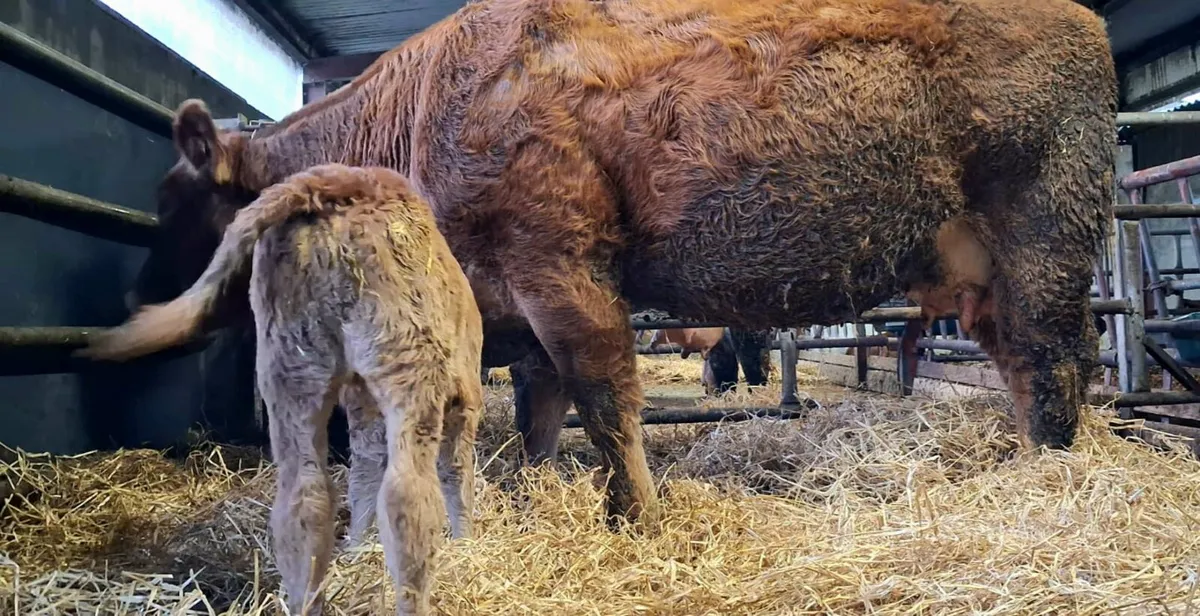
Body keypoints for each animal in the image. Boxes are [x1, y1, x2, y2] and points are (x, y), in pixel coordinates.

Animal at [79, 0, 1117, 527]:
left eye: (174, 201)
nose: (128, 289)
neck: (425, 107)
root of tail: (1080, 19)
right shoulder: (514, 296)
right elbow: (541, 409)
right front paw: (535, 491)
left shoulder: (561, 266)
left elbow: (606, 397)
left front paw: (637, 515)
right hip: (980, 269)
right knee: (1022, 360)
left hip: (1047, 229)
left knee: (1057, 358)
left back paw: (1052, 475)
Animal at [84, 164, 482, 615]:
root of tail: (326, 181)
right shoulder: (464, 399)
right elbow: (456, 472)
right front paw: (466, 543)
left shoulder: (360, 401)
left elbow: (364, 470)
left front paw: (356, 548)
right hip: (409, 367)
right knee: (408, 496)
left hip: (290, 369)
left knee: (304, 499)